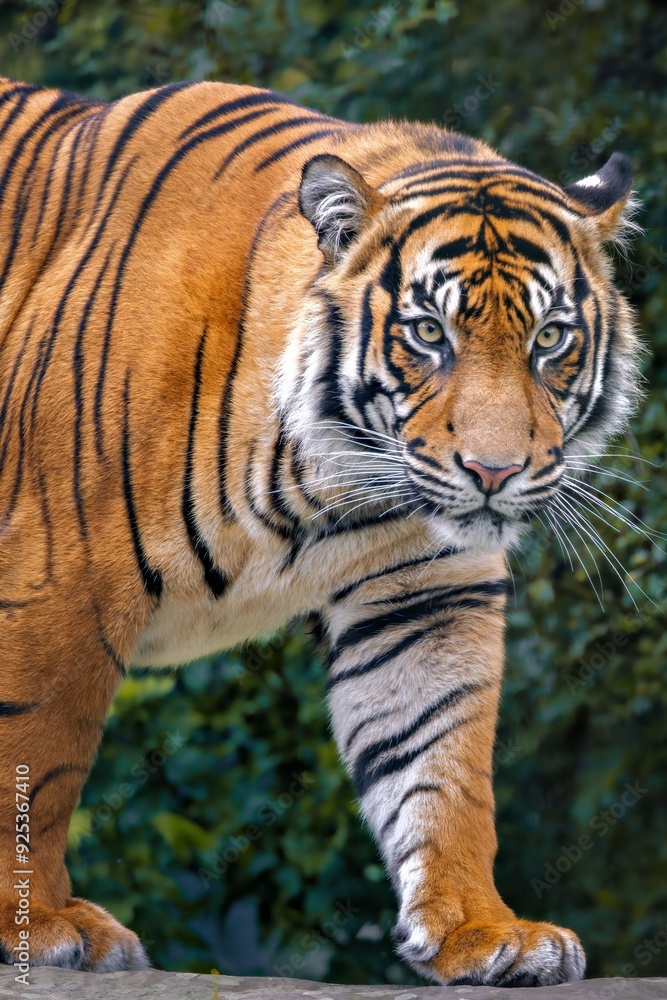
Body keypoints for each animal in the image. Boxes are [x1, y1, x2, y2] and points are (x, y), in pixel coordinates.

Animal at [0, 76, 641, 986]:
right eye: (428, 334)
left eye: (549, 339)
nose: (493, 472)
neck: (325, 481)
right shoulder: (57, 569)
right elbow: (34, 757)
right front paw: (38, 922)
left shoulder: (424, 594)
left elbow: (442, 764)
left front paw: (483, 931)